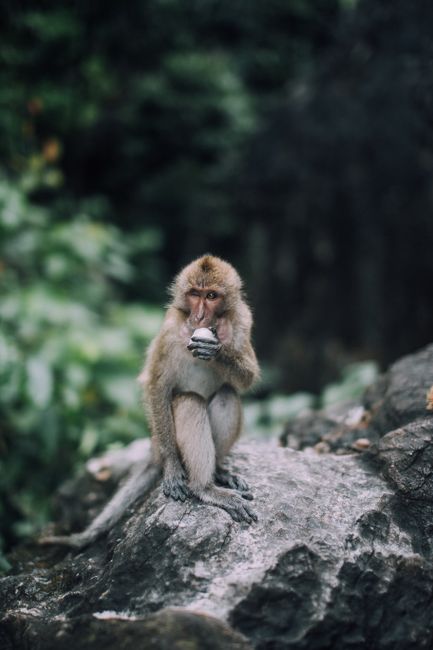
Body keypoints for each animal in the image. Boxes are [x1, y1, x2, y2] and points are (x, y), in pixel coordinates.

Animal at [40, 255, 259, 550]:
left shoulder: (243, 319)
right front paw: (173, 469)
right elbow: (158, 388)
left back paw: (218, 471)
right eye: (194, 294)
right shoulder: (169, 329)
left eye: (211, 296)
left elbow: (247, 378)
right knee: (189, 401)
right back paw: (204, 487)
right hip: (159, 437)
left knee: (227, 394)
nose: (199, 316)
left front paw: (217, 350)